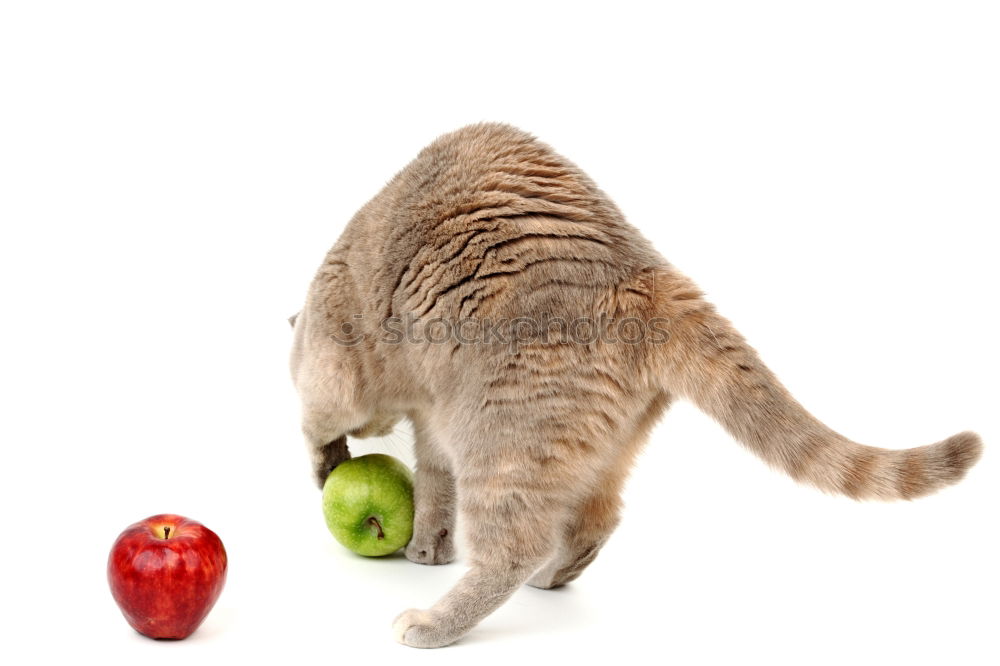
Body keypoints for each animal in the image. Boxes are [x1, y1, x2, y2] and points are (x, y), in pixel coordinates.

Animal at [286, 122, 980, 644]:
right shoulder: (433, 419)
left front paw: (328, 466)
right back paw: (552, 578)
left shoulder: (337, 368)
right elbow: (433, 485)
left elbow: (316, 420)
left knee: (516, 545)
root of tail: (646, 279)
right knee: (599, 518)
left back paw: (435, 622)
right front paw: (428, 546)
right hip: (593, 442)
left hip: (501, 437)